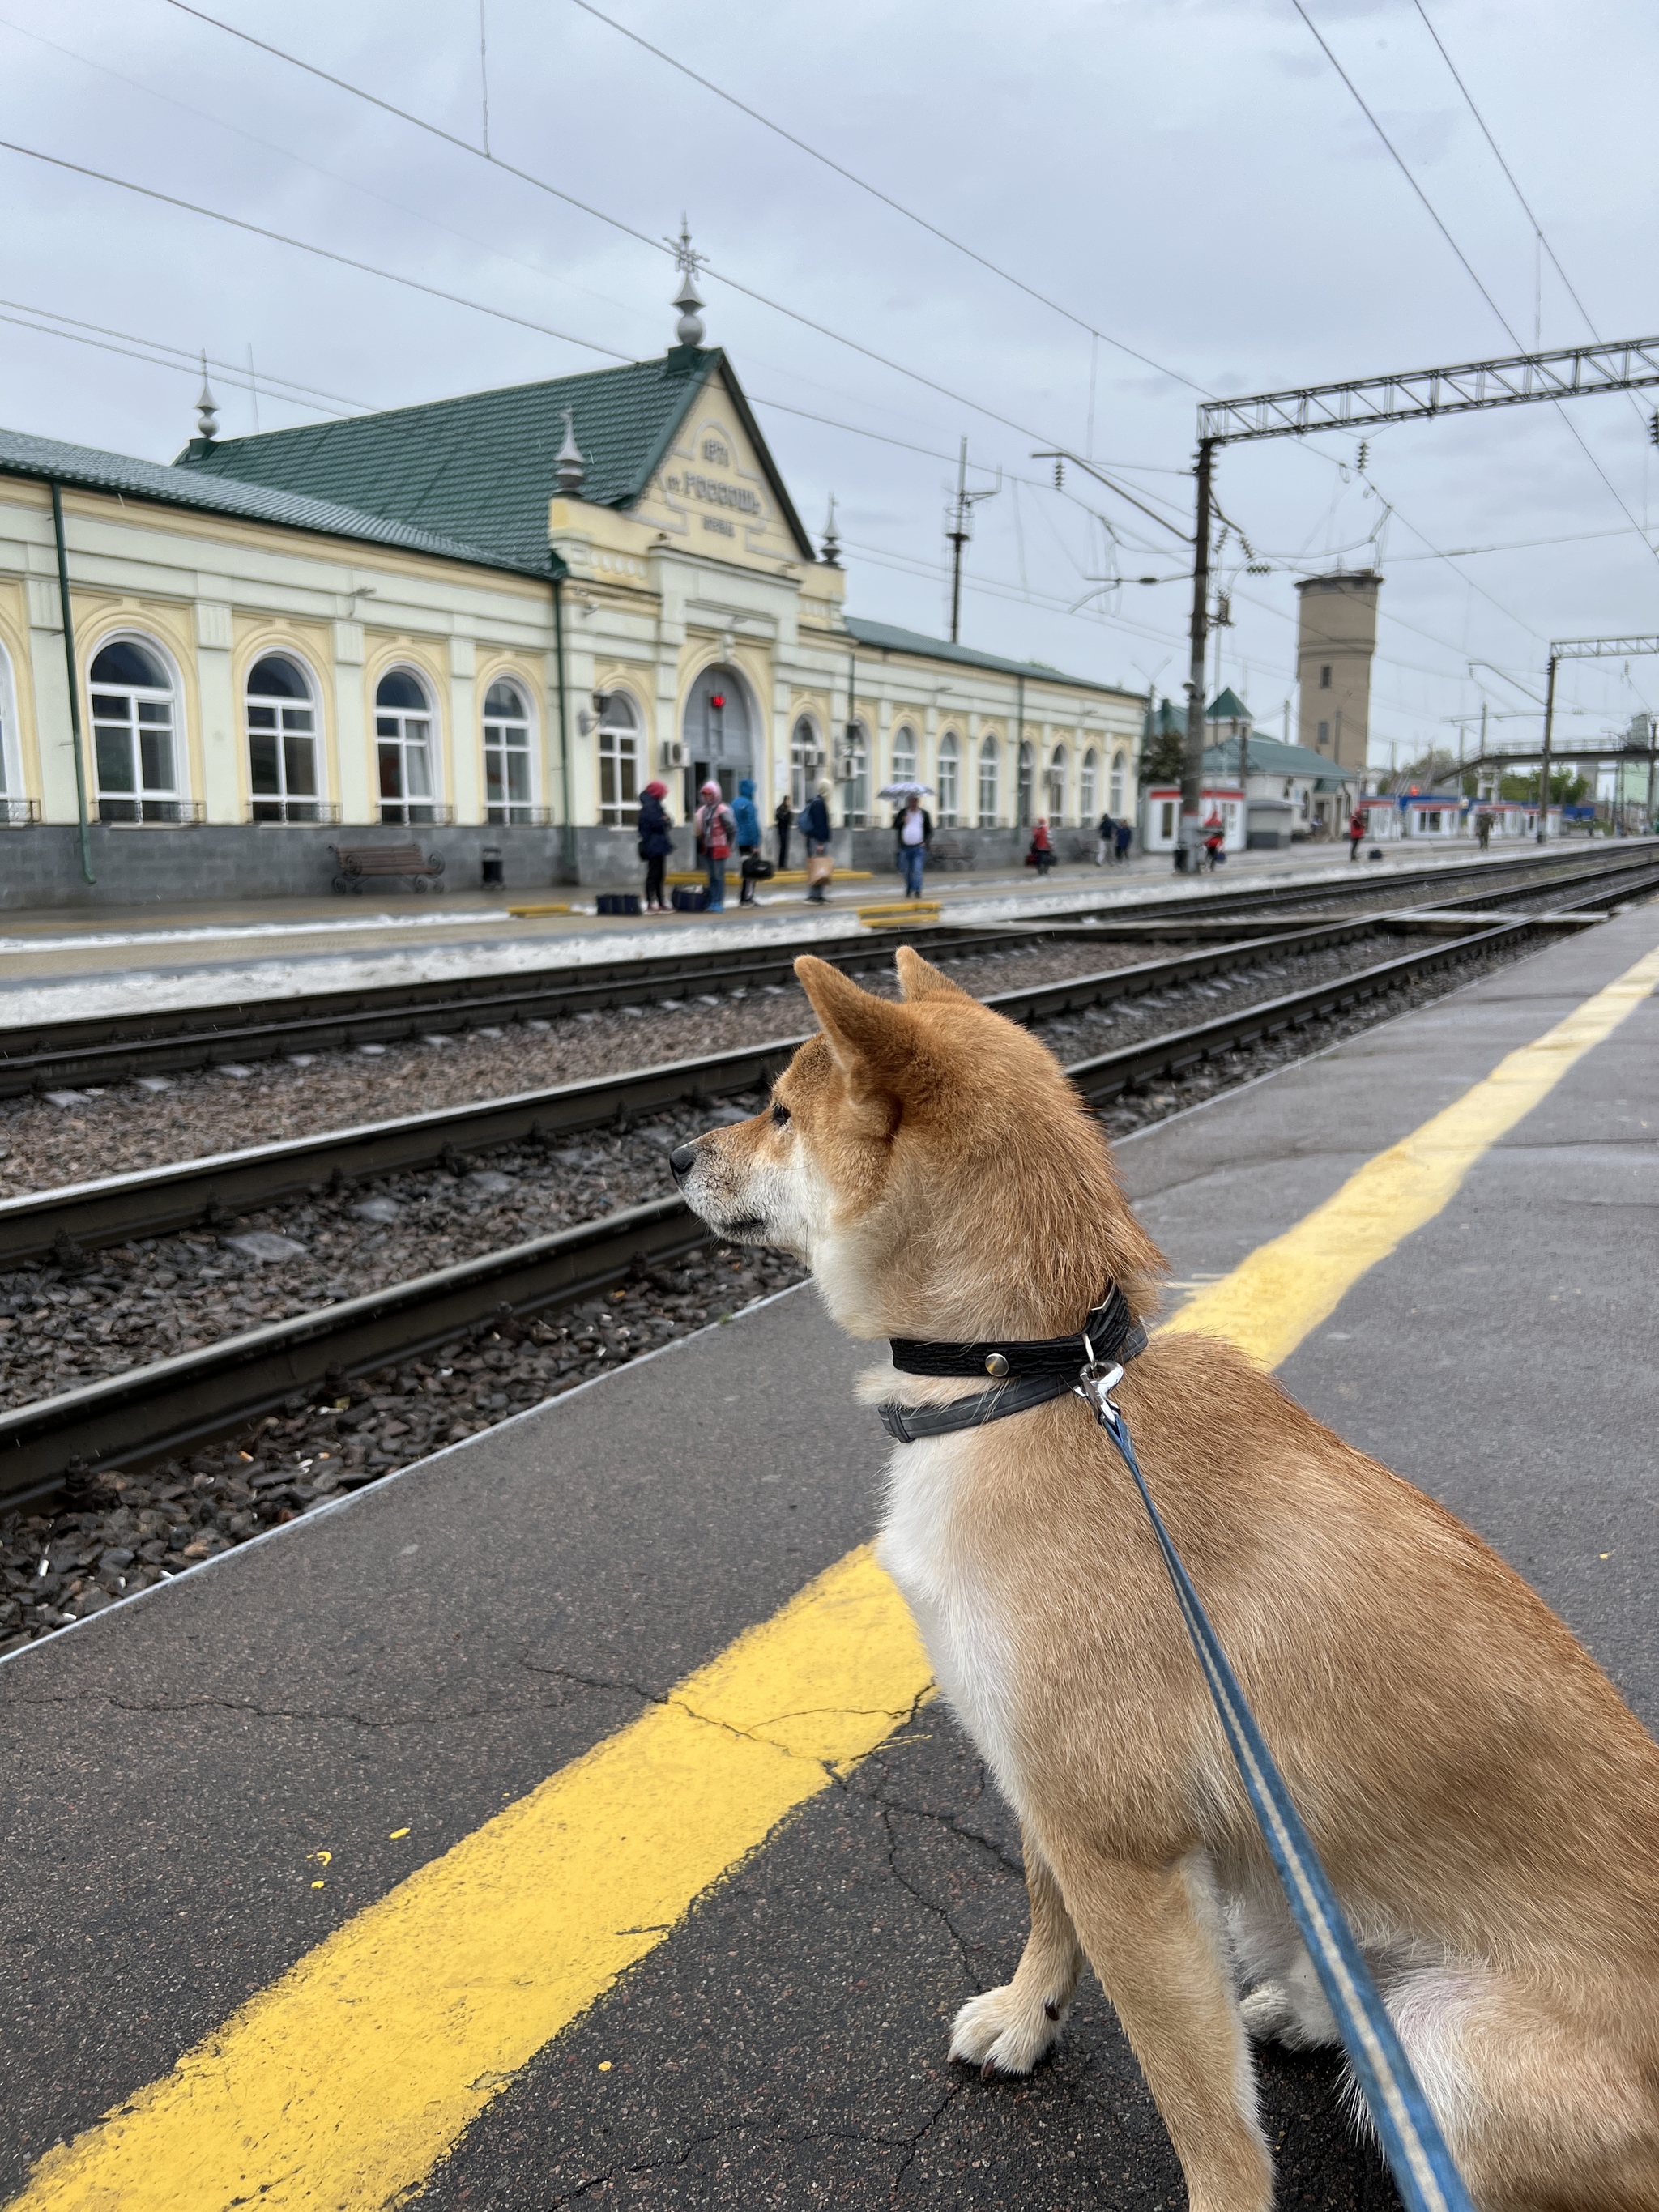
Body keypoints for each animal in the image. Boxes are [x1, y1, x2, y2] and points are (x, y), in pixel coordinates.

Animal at [667, 951, 1659, 2212]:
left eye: (780, 1112)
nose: (677, 1155)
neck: (1037, 1379)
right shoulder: (1047, 1782)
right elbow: (1043, 1900)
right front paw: (1028, 2013)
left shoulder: (1120, 1842)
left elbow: (1199, 2105)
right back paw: (1312, 2001)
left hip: (1454, 2048)